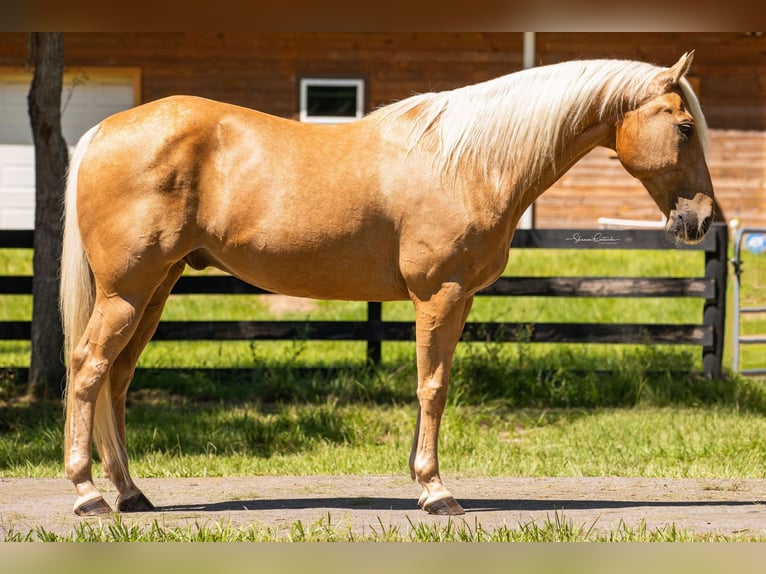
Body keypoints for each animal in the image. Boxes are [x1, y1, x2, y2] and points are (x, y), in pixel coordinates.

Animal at [58, 50, 712, 516]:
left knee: (117, 378)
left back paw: (130, 492)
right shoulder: (439, 294)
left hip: (155, 290)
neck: (467, 161)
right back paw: (88, 495)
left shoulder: (457, 300)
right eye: (684, 127)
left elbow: (432, 386)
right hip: (126, 293)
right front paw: (436, 492)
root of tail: (103, 131)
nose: (701, 219)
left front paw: (421, 480)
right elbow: (433, 387)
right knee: (89, 368)